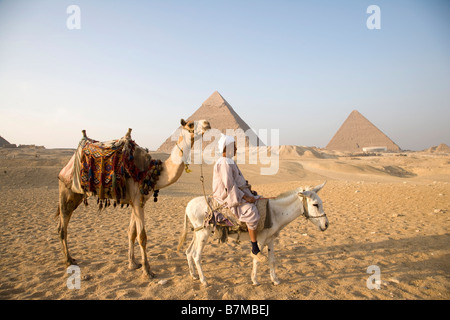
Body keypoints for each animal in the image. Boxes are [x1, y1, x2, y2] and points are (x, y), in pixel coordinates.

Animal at [56, 119, 211, 278]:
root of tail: (66, 167)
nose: (207, 123)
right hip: (67, 191)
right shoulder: (137, 202)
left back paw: (70, 258)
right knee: (62, 227)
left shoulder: (136, 201)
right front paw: (147, 270)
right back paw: (68, 260)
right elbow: (142, 236)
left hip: (77, 195)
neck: (150, 172)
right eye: (191, 124)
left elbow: (131, 232)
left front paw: (132, 263)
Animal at [178, 182, 328, 284]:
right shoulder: (260, 240)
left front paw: (275, 280)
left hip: (198, 233)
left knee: (189, 252)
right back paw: (204, 280)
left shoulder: (270, 240)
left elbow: (272, 260)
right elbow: (256, 259)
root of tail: (188, 205)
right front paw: (255, 280)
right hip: (203, 234)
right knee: (196, 255)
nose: (326, 225)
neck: (274, 213)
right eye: (315, 205)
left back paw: (194, 275)